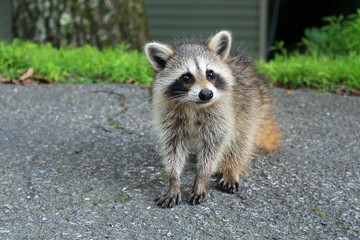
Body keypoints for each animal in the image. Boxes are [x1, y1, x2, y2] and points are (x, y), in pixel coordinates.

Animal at [145, 30, 280, 208]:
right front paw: (174, 180)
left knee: (240, 141)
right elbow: (173, 147)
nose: (206, 94)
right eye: (186, 77)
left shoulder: (221, 113)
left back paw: (231, 169)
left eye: (210, 73)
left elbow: (215, 144)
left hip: (251, 107)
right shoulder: (168, 116)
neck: (193, 105)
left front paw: (202, 177)